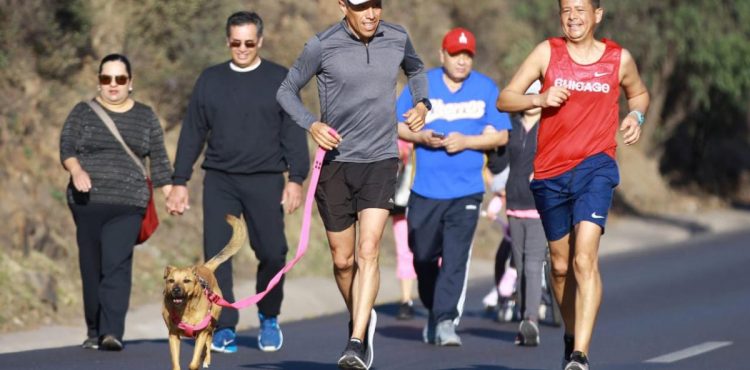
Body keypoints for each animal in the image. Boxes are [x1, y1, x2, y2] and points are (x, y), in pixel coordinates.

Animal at [163, 214, 248, 370]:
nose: (176, 290)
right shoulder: (173, 335)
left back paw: (206, 359)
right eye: (171, 280)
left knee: (208, 343)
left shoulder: (201, 332)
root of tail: (205, 267)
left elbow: (194, 362)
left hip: (211, 323)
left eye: (186, 280)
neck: (185, 309)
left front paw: (197, 362)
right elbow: (176, 362)